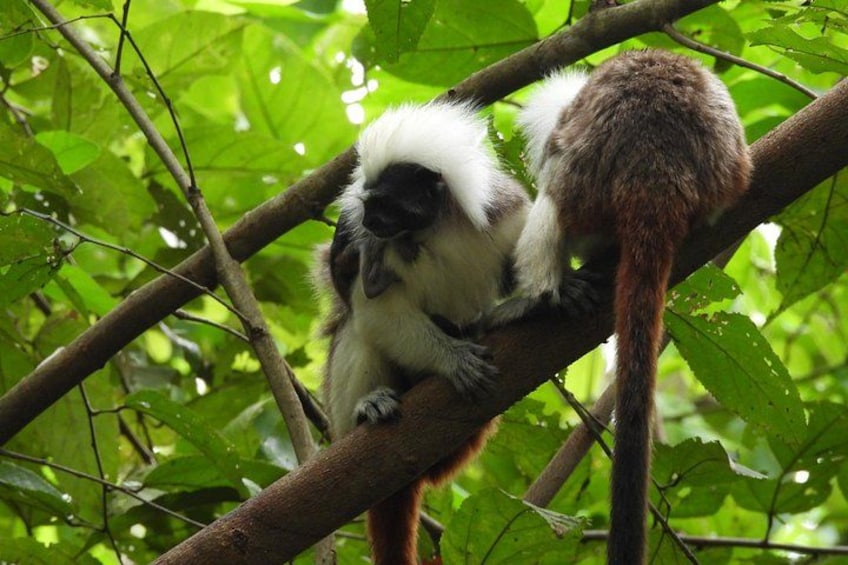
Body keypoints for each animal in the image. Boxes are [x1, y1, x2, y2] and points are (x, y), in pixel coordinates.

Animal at [315, 101, 529, 564]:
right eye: (367, 203)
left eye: (385, 205)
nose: (369, 221)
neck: (436, 229)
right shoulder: (367, 248)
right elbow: (377, 312)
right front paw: (452, 360)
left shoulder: (506, 217)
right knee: (355, 331)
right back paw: (367, 408)